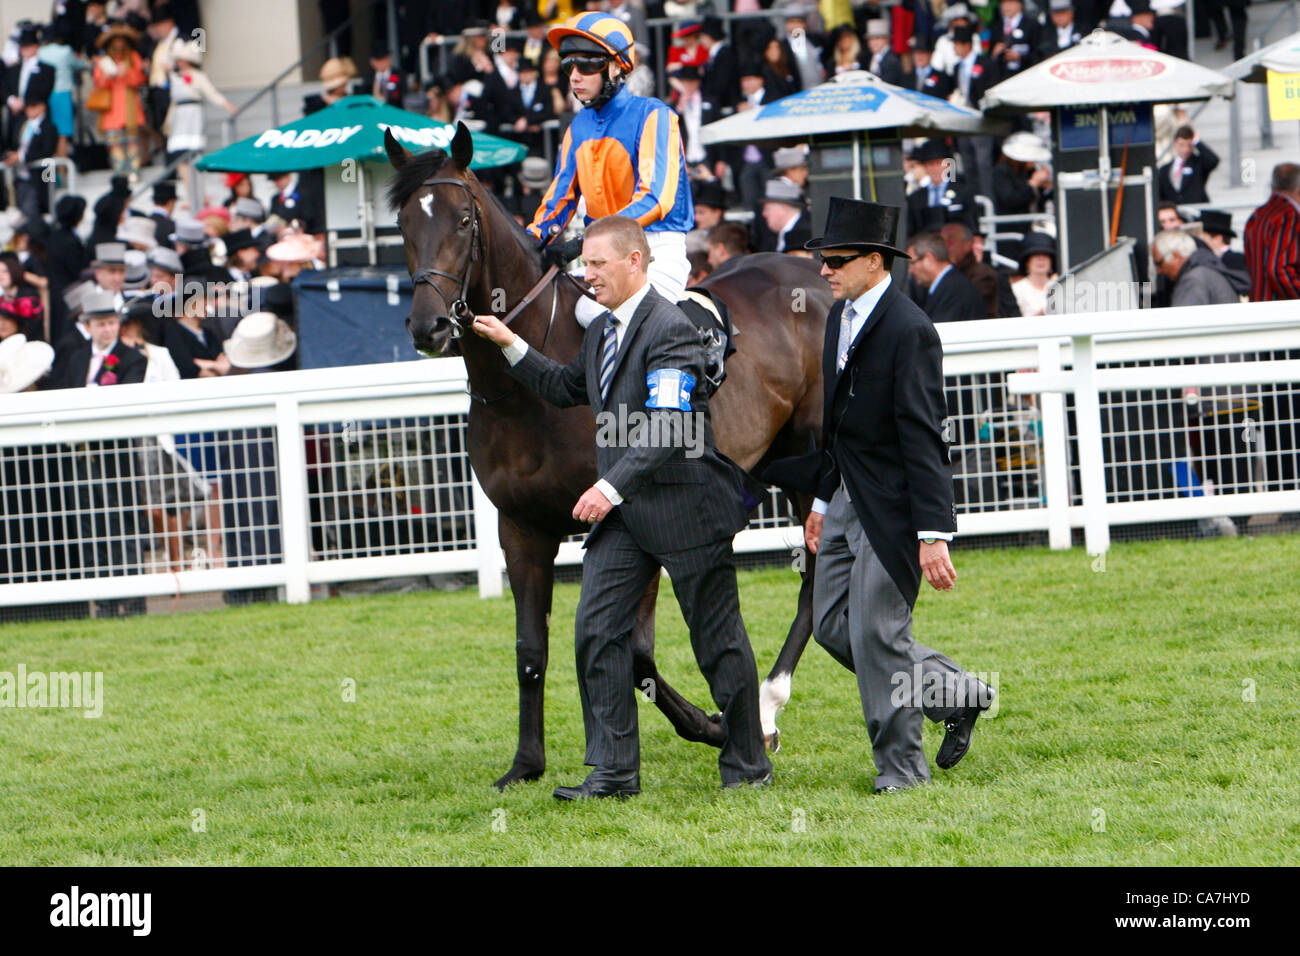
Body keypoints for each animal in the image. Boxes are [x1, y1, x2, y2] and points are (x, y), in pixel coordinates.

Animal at [384, 123, 826, 790]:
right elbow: (532, 651)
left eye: (463, 220)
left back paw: (769, 702)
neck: (522, 395)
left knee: (819, 570)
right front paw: (525, 765)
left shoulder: (621, 515)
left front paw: (714, 724)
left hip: (814, 458)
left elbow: (635, 651)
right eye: (404, 224)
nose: (428, 325)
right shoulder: (521, 529)